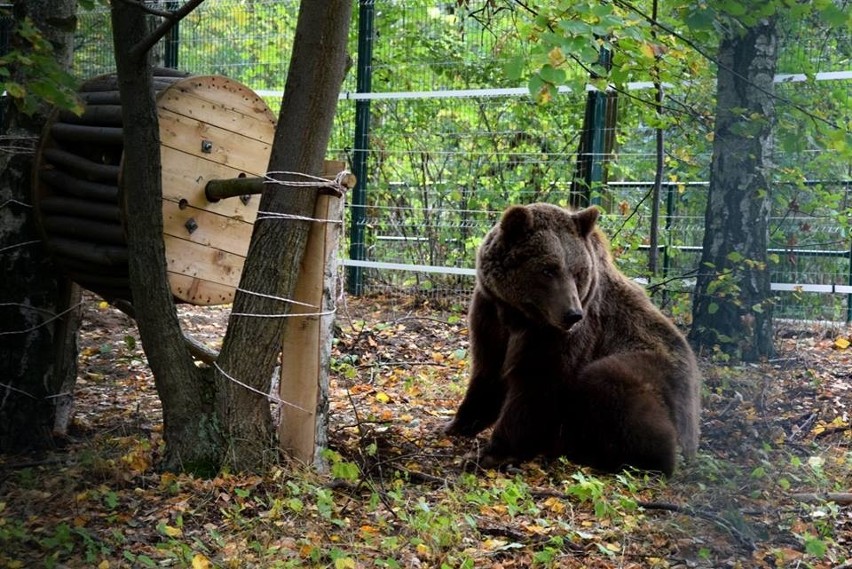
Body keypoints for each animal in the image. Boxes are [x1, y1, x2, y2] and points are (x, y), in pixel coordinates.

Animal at [446, 202, 700, 478]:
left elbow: (537, 386)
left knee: (610, 383)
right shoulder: (491, 315)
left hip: (656, 375)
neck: (520, 316)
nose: (572, 314)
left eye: (578, 271)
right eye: (548, 269)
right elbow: (488, 371)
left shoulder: (565, 336)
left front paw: (489, 454)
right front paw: (457, 423)